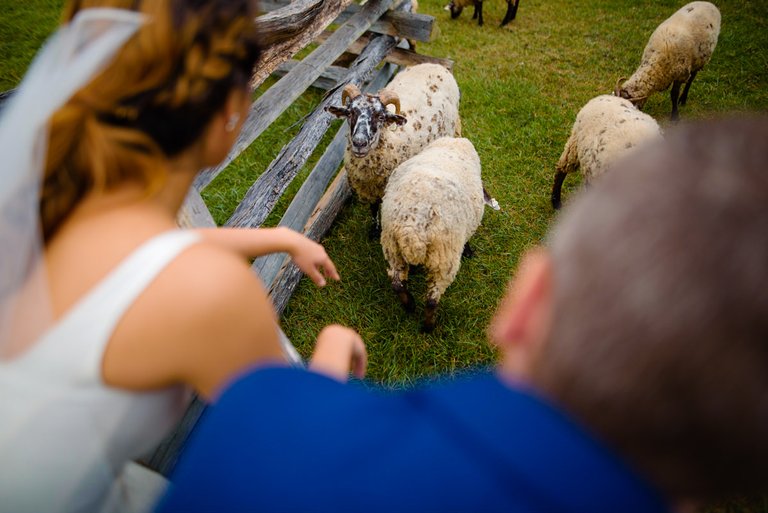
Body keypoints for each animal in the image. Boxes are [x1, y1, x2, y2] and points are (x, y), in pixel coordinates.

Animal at [326, 62, 460, 236]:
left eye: (381, 116)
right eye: (349, 113)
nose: (359, 143)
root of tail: (435, 64)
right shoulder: (371, 190)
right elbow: (373, 209)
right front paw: (374, 230)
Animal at [380, 136, 484, 332]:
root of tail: (412, 229)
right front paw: (468, 251)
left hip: (392, 246)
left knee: (397, 283)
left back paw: (409, 305)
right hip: (444, 259)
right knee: (431, 299)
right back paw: (429, 326)